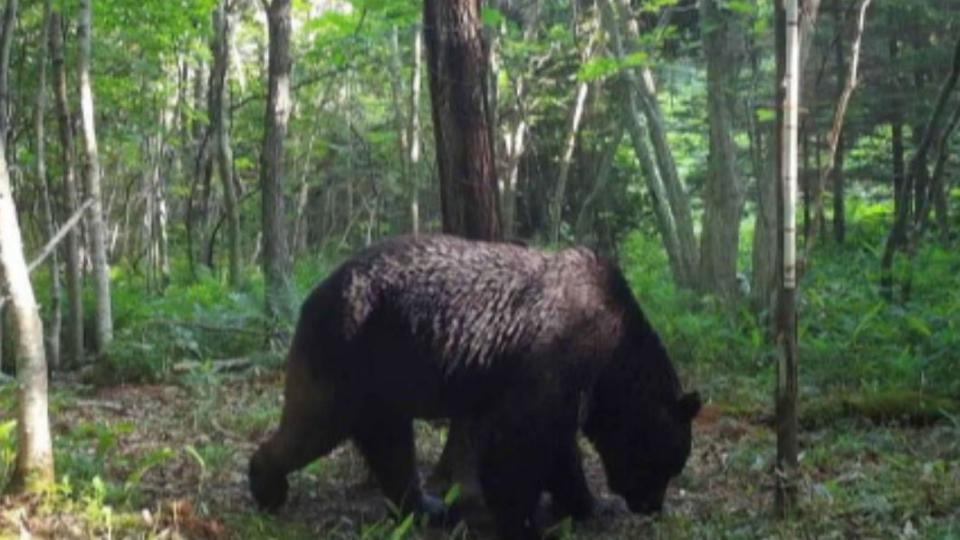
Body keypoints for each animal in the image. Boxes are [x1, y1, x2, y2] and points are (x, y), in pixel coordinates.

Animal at [248, 236, 696, 540]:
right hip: (348, 350)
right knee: (314, 425)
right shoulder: (552, 357)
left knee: (390, 445)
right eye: (668, 463)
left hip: (383, 380)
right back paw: (266, 484)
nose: (651, 506)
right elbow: (522, 445)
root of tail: (314, 293)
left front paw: (587, 503)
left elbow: (557, 446)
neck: (611, 357)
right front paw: (523, 519)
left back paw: (426, 507)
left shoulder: (560, 385)